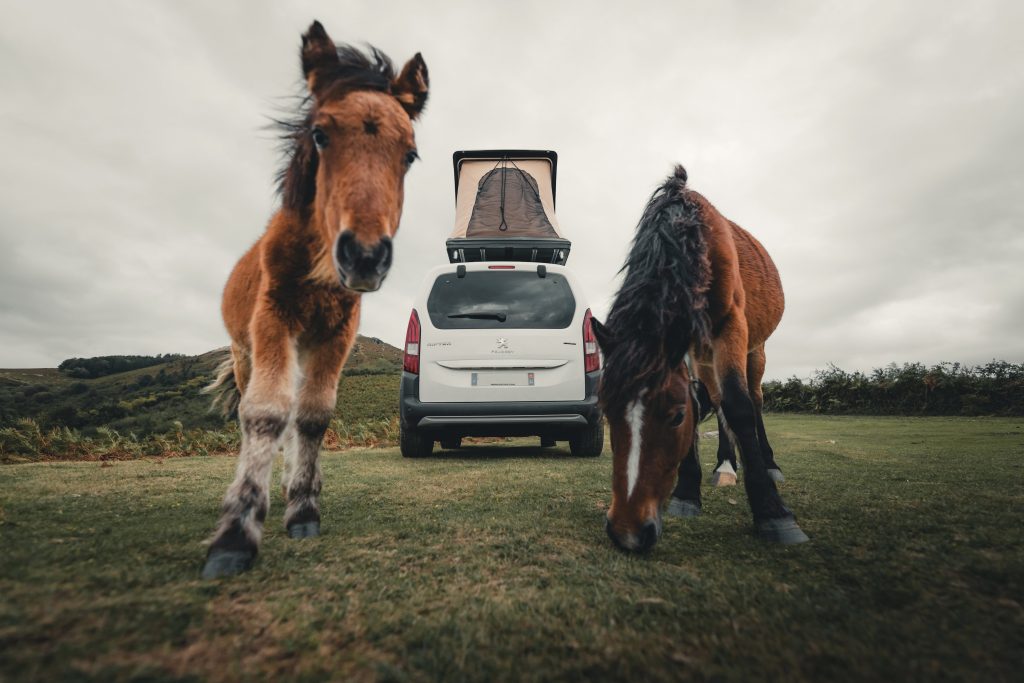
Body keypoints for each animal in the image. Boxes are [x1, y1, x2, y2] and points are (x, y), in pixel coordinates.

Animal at [200, 21, 429, 579]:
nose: (364, 256)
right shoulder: (273, 318)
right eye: (321, 135)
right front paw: (236, 532)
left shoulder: (337, 333)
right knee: (258, 410)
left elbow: (313, 415)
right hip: (246, 352)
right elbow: (265, 413)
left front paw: (303, 508)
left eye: (409, 154)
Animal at [591, 165, 807, 553]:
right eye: (607, 413)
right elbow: (711, 402)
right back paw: (725, 465)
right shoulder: (692, 350)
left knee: (753, 400)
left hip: (754, 351)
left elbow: (739, 407)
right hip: (706, 357)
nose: (628, 532)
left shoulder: (730, 328)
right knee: (718, 401)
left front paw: (772, 511)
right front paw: (688, 491)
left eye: (676, 417)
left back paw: (766, 464)